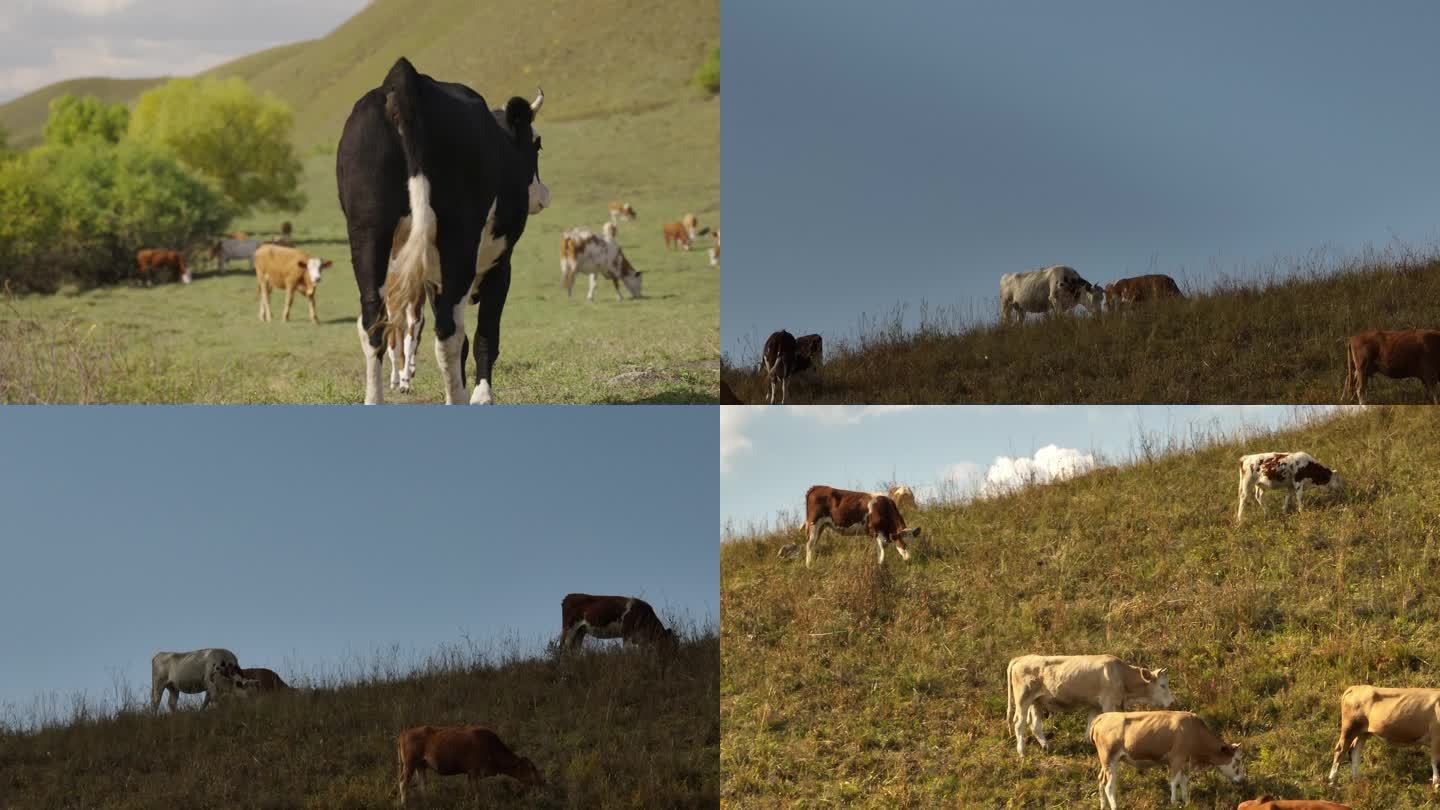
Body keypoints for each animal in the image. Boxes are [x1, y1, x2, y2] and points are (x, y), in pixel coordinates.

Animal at [336, 56, 550, 403]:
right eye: (538, 145)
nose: (543, 194)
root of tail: (405, 79)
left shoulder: (433, 278)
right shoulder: (500, 264)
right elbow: (486, 336)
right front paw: (482, 396)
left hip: (368, 233)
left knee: (373, 324)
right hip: (457, 238)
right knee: (449, 333)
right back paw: (457, 399)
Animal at [394, 720, 541, 801]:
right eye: (531, 768)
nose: (541, 781)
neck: (490, 746)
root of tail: (404, 733)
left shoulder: (470, 773)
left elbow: (469, 789)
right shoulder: (475, 772)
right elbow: (476, 790)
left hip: (420, 766)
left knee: (422, 784)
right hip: (409, 765)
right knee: (403, 783)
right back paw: (404, 803)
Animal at [1008, 651, 1175, 755]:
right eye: (1162, 685)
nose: (1172, 702)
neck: (1121, 675)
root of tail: (1022, 658)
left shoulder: (1095, 705)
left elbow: (1090, 723)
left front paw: (1089, 743)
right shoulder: (1109, 703)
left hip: (1036, 702)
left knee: (1035, 725)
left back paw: (1047, 746)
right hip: (1023, 699)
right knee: (1019, 723)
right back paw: (1022, 752)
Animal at [1088, 709, 1249, 801]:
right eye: (1237, 760)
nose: (1242, 779)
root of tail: (1103, 717)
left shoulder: (1185, 762)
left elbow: (1183, 781)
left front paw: (1186, 800)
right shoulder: (1176, 759)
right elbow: (1174, 781)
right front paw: (1174, 801)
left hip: (1106, 762)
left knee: (1101, 780)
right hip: (1110, 759)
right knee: (1109, 786)